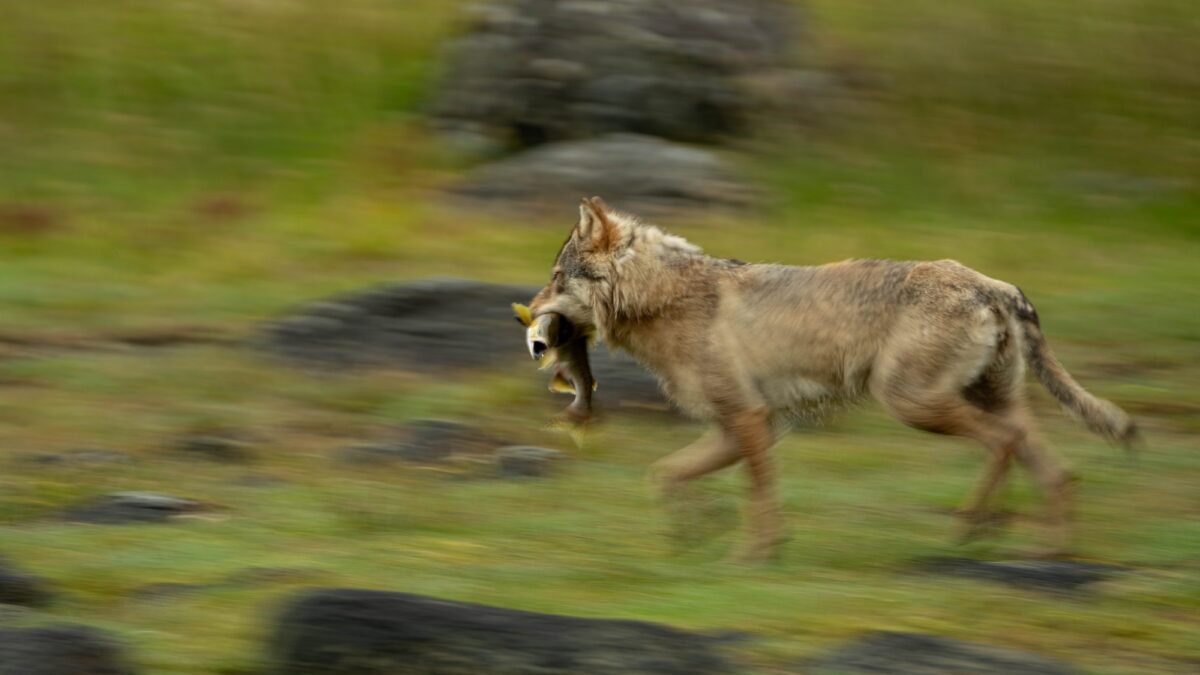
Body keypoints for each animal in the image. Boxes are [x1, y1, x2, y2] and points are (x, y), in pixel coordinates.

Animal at [527, 197, 1139, 561]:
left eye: (556, 278)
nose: (528, 317)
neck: (663, 296)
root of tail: (996, 286)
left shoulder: (749, 420)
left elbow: (758, 498)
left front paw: (753, 554)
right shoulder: (740, 427)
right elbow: (666, 477)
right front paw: (694, 532)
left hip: (913, 405)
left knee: (1006, 446)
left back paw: (973, 526)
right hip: (981, 403)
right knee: (1058, 473)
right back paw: (1045, 554)